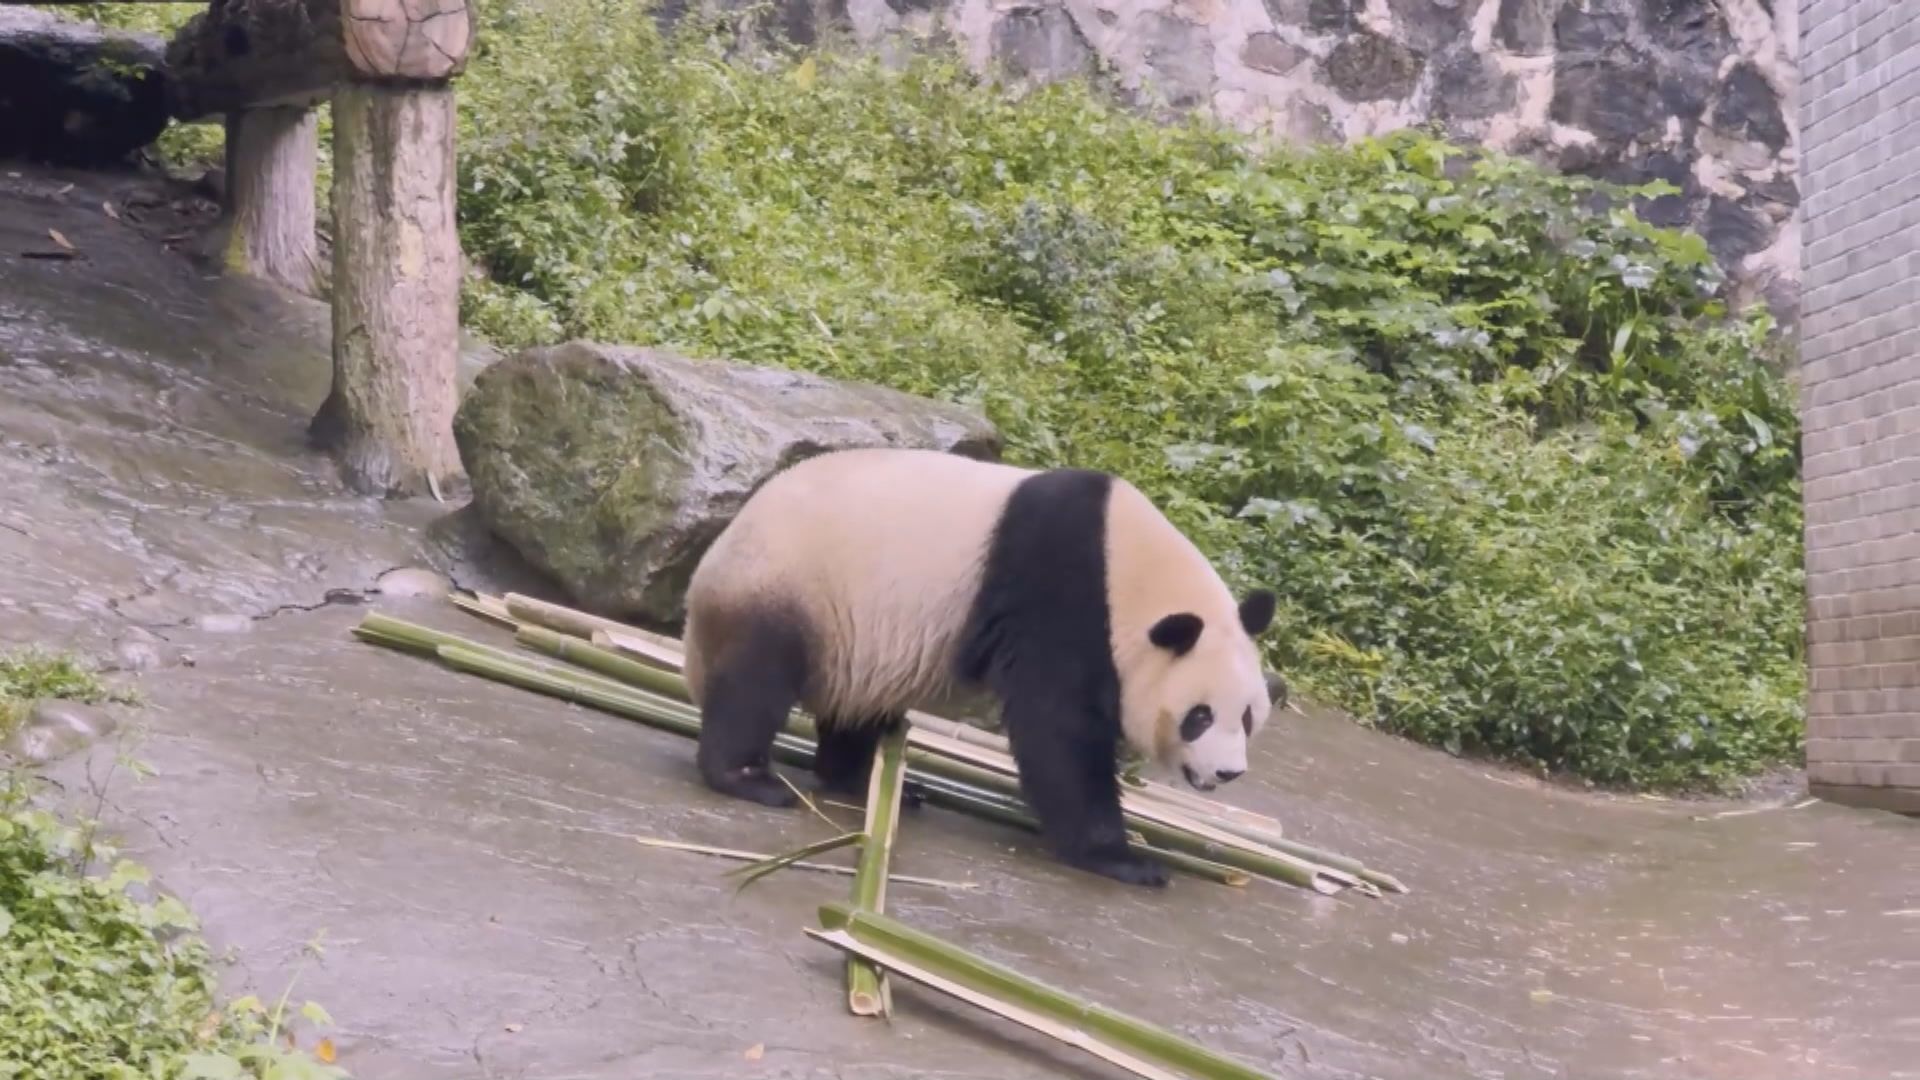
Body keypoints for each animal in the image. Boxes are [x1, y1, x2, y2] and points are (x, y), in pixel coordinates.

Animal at [683, 445, 1282, 883]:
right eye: (1199, 716)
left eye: (1248, 717)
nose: (1228, 772)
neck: (1126, 565)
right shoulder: (1061, 589)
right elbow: (1056, 726)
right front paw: (1123, 858)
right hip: (787, 586)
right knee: (754, 682)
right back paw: (750, 779)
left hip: (859, 640)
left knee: (858, 707)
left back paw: (873, 783)